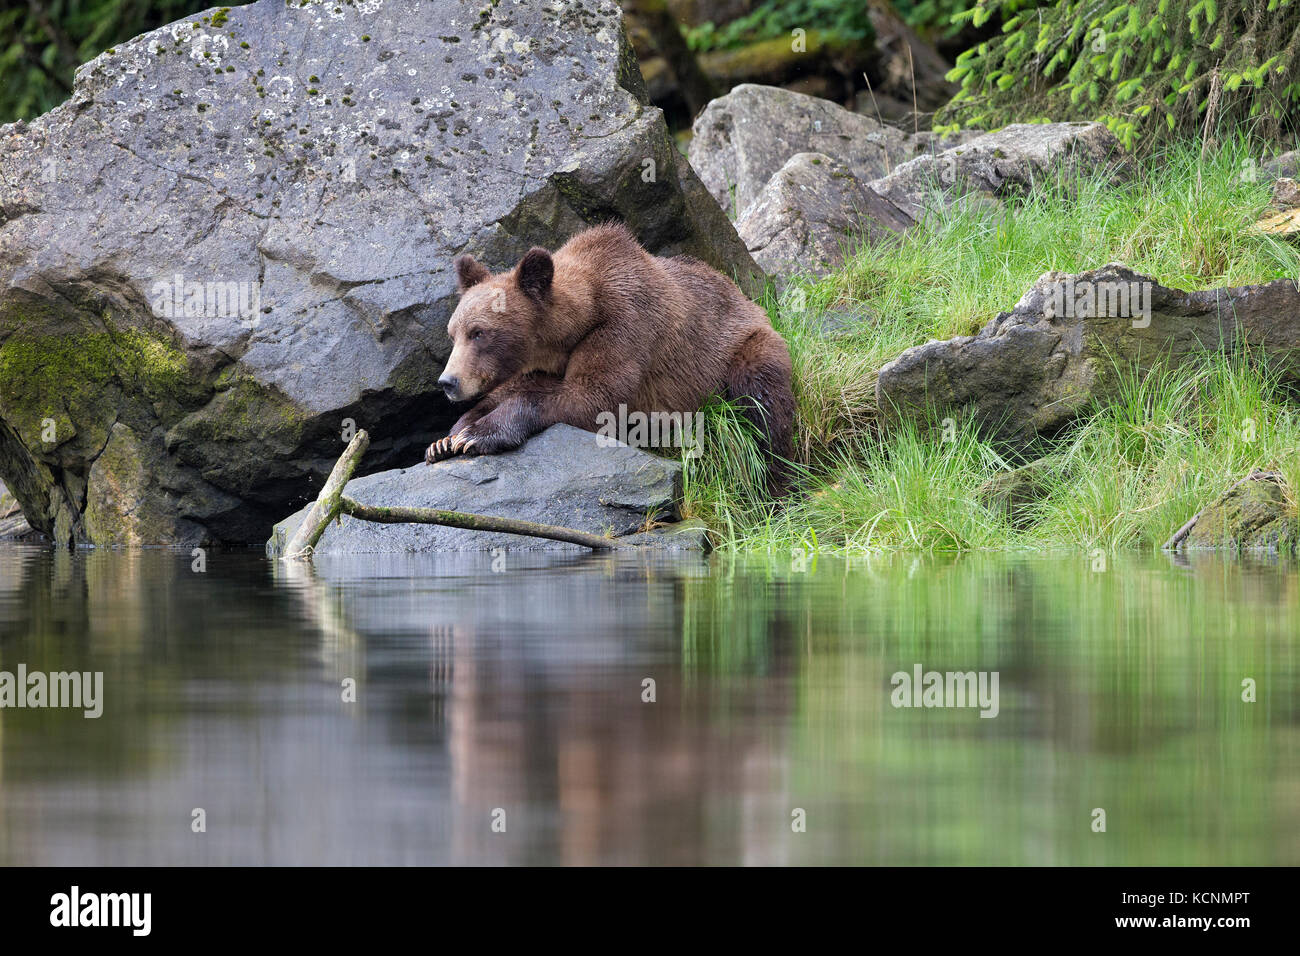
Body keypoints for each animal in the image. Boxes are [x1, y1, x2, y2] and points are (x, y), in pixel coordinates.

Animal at [426, 225, 790, 494]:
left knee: (764, 404)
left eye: (479, 332)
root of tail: (747, 299)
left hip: (743, 347)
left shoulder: (625, 328)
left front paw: (478, 435)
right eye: (453, 333)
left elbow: (592, 399)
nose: (448, 382)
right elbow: (511, 391)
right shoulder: (542, 365)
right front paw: (446, 439)